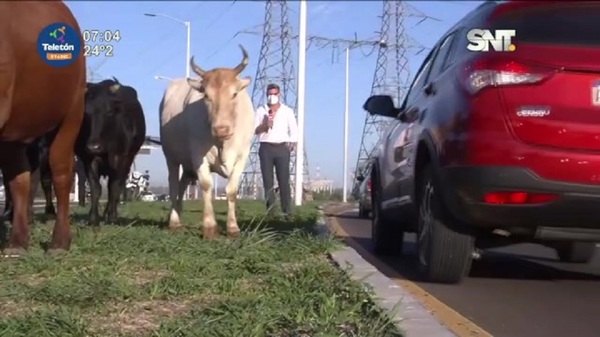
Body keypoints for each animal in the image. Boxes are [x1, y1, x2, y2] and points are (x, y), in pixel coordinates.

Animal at [78, 78, 146, 227]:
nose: (94, 146)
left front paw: (113, 217)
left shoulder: (122, 159)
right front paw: (93, 219)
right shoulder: (88, 158)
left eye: (109, 112)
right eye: (86, 113)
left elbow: (114, 188)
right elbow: (95, 188)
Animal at [159, 45, 253, 239]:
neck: (223, 143)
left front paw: (233, 227)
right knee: (173, 186)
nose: (221, 129)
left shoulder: (243, 156)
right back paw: (174, 221)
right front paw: (209, 226)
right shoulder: (198, 155)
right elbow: (206, 186)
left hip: (187, 167)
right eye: (206, 96)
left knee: (181, 186)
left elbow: (232, 190)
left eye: (234, 94)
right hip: (171, 157)